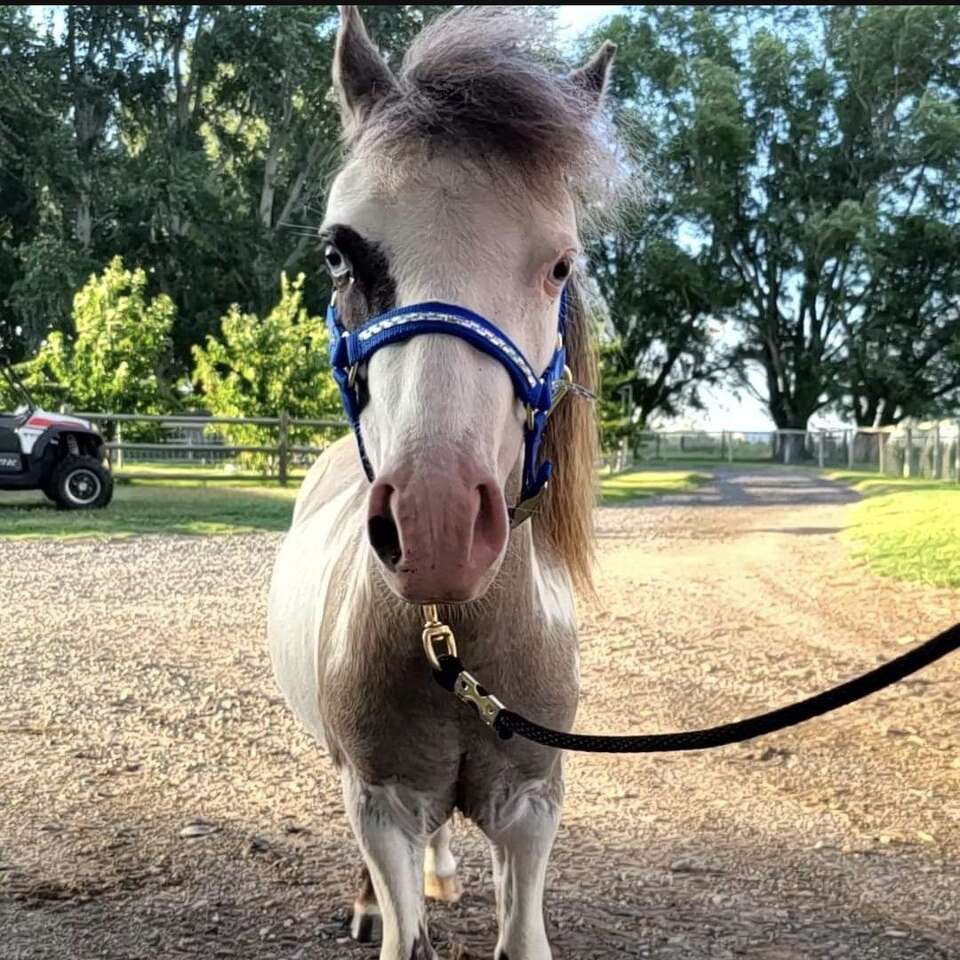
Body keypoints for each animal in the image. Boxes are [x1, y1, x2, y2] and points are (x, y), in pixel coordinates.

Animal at [268, 8, 624, 958]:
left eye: (560, 265)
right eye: (339, 254)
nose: (436, 527)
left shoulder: (530, 807)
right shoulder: (382, 803)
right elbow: (402, 923)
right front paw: (385, 907)